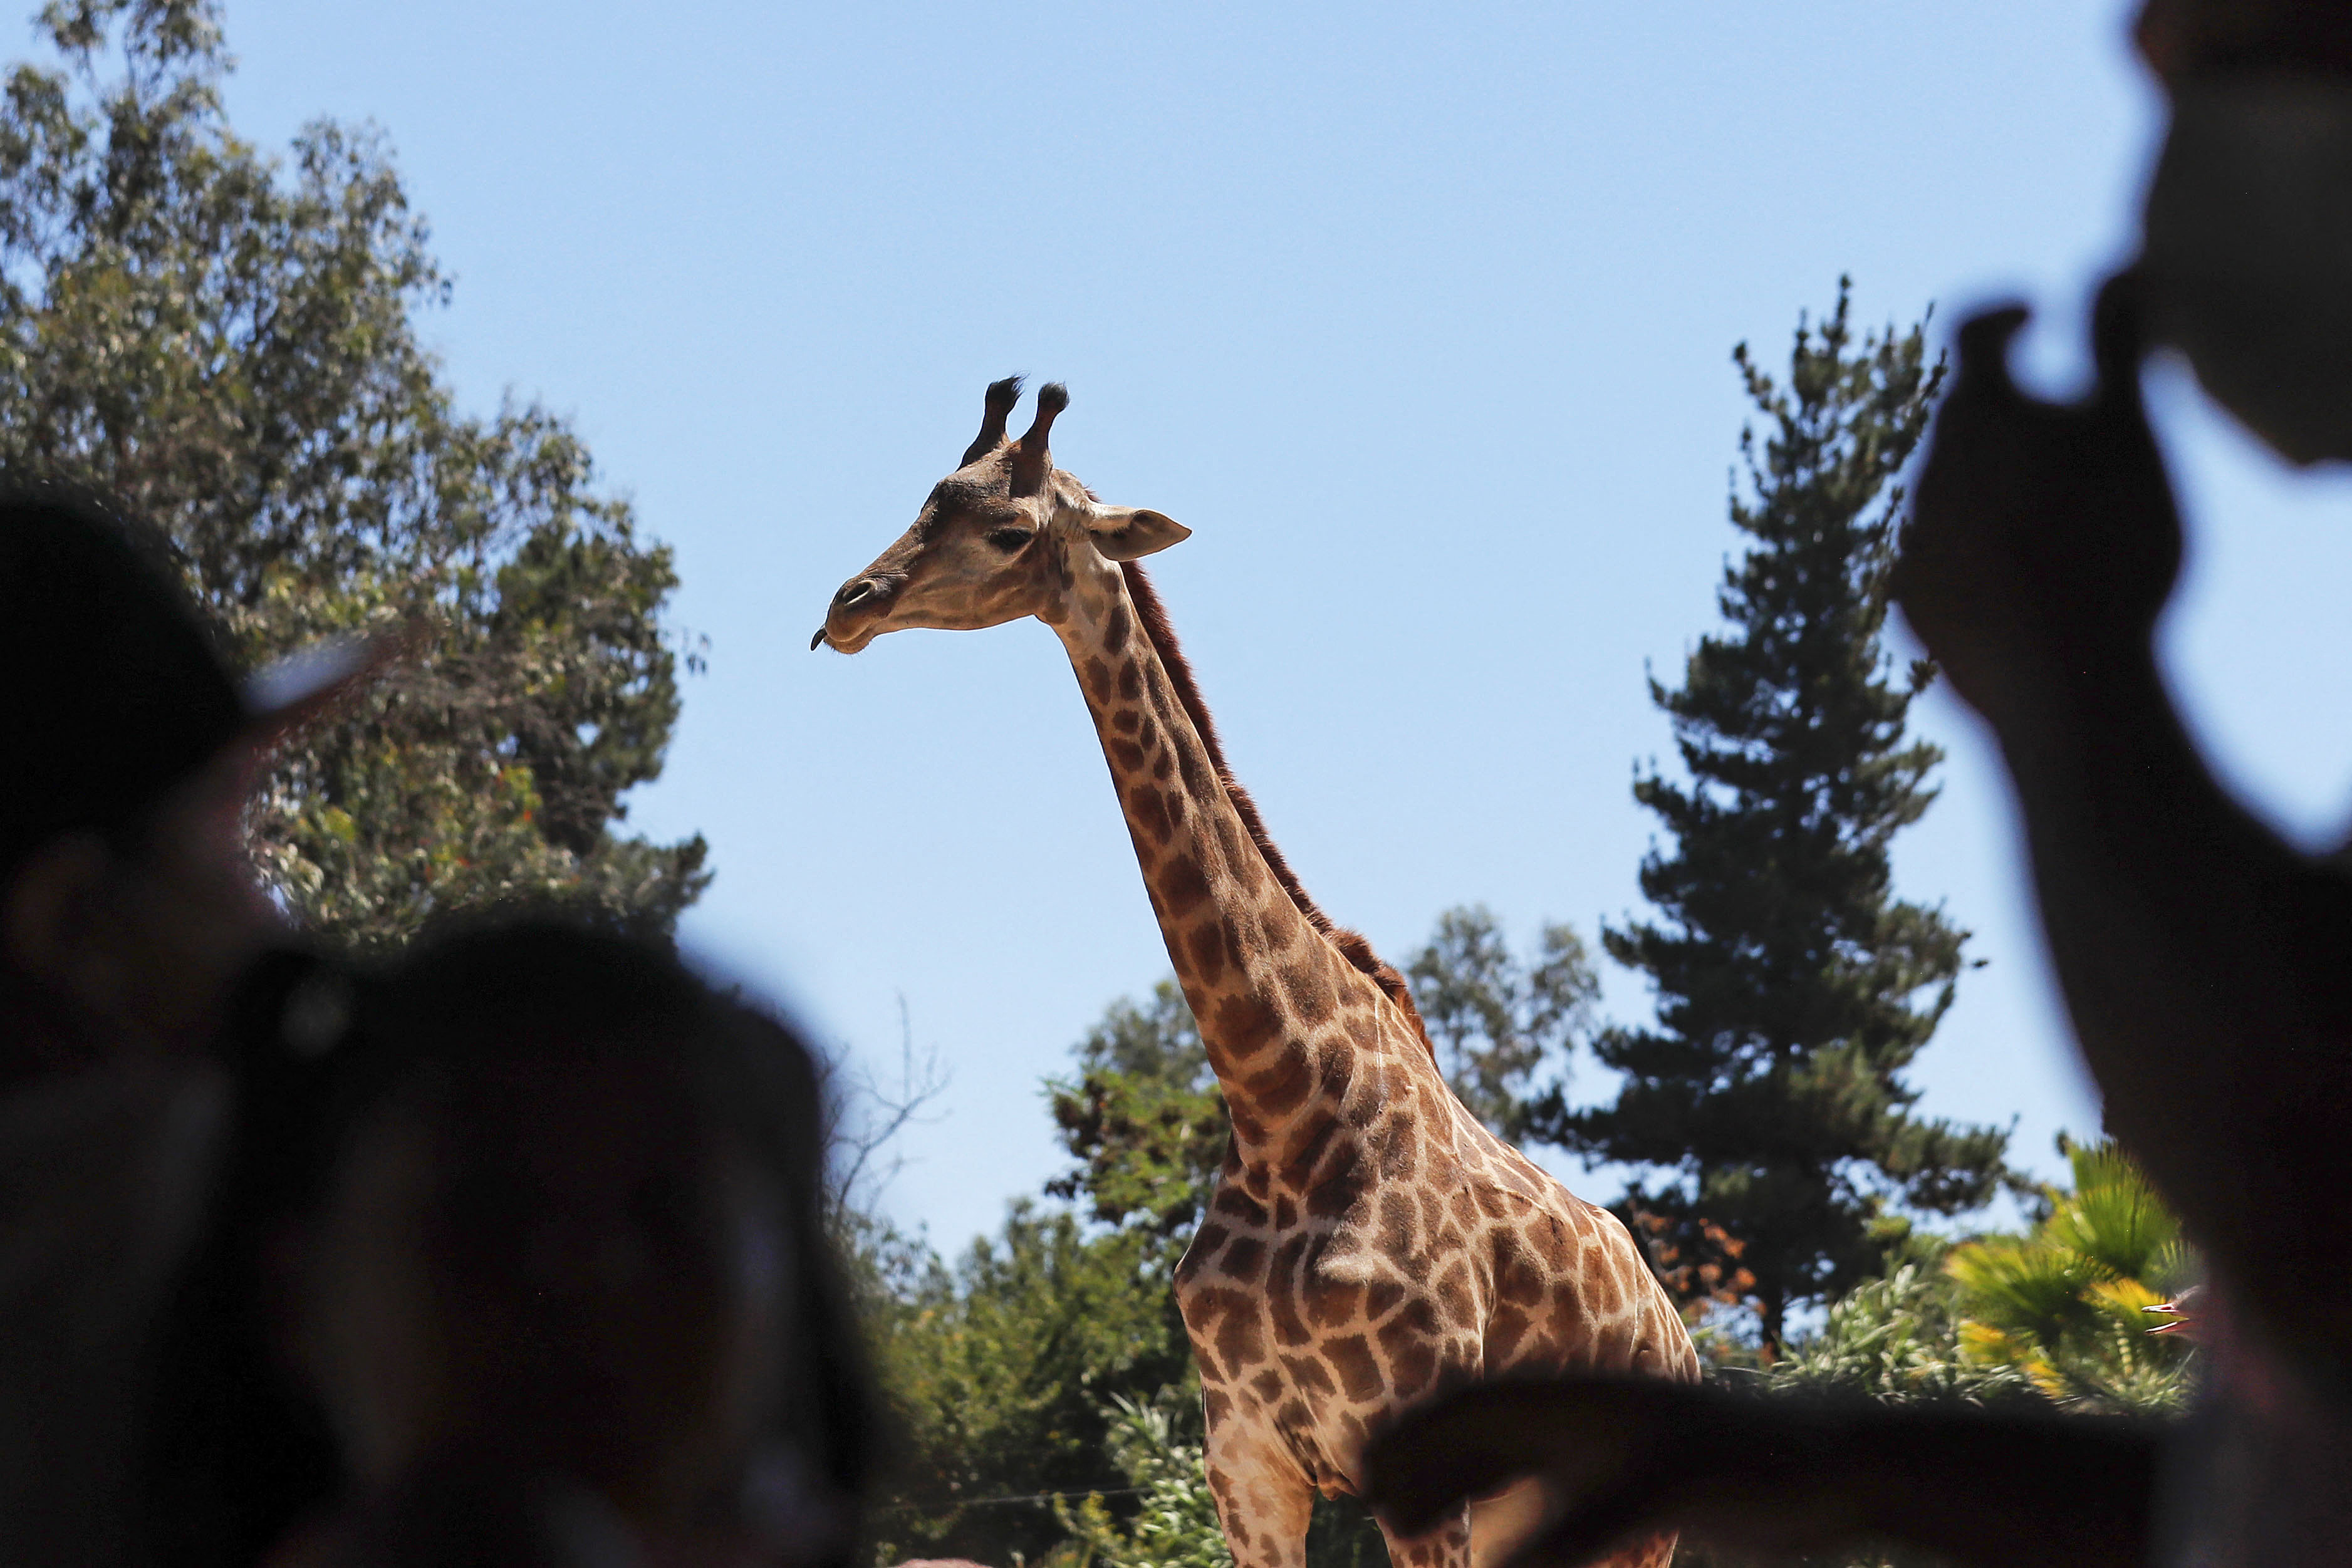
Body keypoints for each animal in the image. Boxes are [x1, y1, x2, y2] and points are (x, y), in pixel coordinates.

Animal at [813, 379, 1699, 1568]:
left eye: (1009, 531)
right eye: (927, 497)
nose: (849, 604)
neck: (1281, 1109)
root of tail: (1678, 1330)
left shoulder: (1414, 1473)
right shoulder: (1244, 1458)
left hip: (1627, 1527)